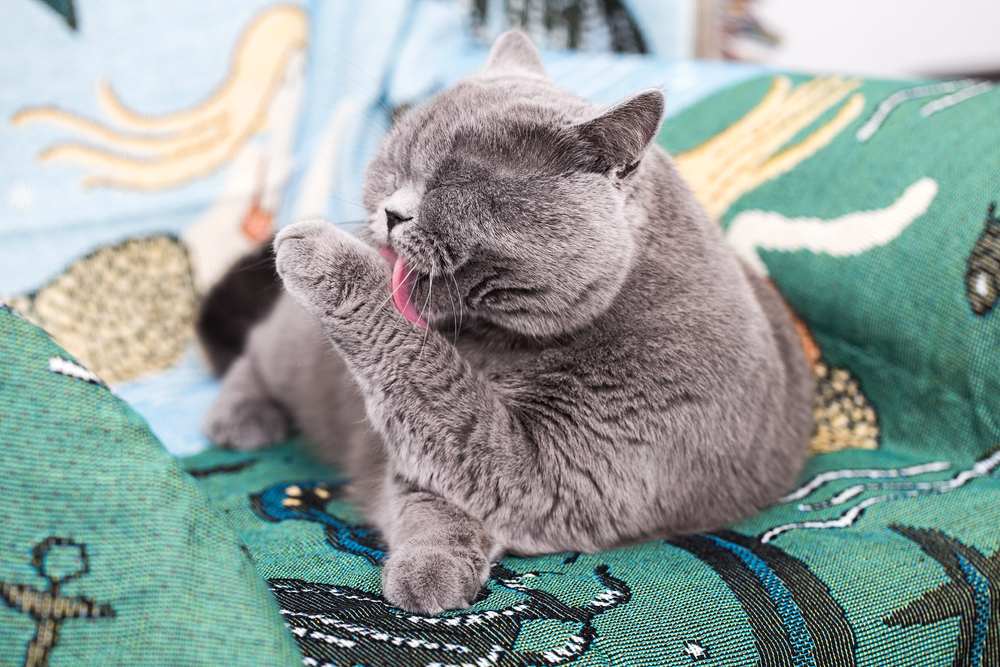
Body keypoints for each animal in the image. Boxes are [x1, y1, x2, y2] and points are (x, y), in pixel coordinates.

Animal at [201, 32, 812, 616]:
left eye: (457, 183)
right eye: (394, 164)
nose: (391, 212)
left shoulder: (558, 471)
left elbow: (439, 393)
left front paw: (324, 254)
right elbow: (426, 486)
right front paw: (432, 567)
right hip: (296, 354)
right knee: (254, 351)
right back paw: (241, 417)